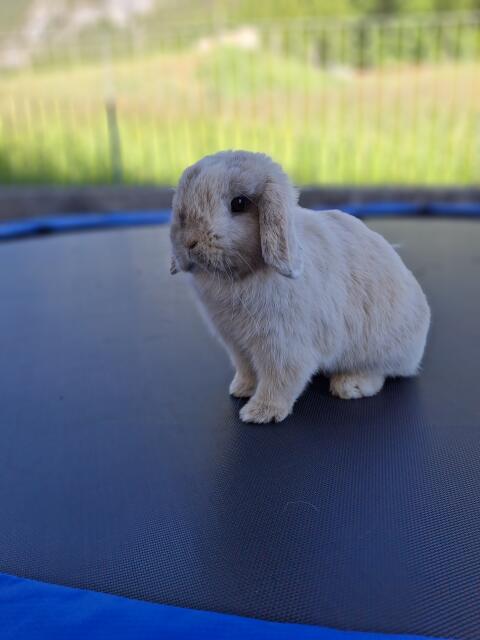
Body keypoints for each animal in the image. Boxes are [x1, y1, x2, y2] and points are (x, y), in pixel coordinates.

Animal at [170, 150, 430, 424]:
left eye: (239, 203)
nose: (189, 242)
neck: (240, 276)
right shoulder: (237, 344)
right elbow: (247, 370)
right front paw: (241, 389)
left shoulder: (283, 346)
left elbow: (280, 381)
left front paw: (260, 412)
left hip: (378, 349)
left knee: (381, 373)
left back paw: (349, 385)